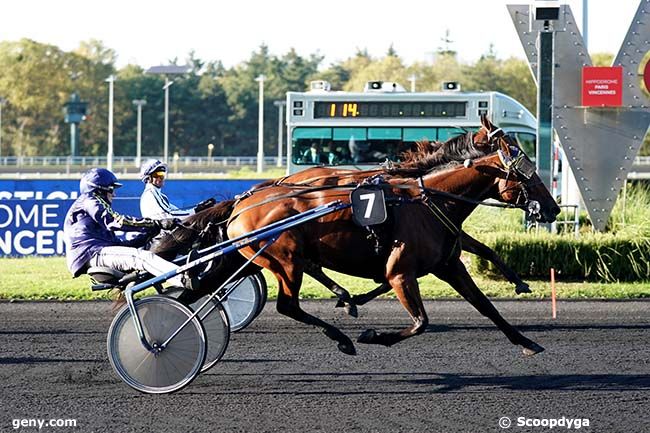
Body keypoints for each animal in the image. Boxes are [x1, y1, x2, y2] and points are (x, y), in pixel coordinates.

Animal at [223, 121, 556, 354]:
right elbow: (420, 321)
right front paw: (373, 335)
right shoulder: (401, 272)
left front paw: (526, 339)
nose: (552, 208)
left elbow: (485, 302)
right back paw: (343, 334)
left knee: (303, 282)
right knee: (288, 305)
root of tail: (240, 207)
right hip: (285, 260)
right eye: (526, 172)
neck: (428, 199)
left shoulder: (449, 264)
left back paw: (346, 300)